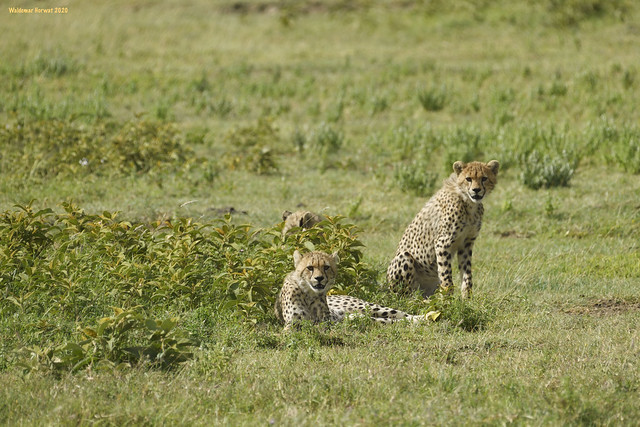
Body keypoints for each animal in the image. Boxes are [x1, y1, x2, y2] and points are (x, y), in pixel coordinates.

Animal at [276, 251, 424, 332]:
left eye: (326, 267)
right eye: (310, 268)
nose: (319, 278)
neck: (309, 294)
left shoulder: (326, 322)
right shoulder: (292, 325)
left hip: (368, 307)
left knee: (401, 316)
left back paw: (425, 318)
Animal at [384, 160, 500, 298]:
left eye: (484, 178)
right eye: (468, 179)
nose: (476, 190)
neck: (468, 202)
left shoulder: (466, 243)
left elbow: (467, 275)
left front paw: (467, 298)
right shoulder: (442, 242)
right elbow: (446, 274)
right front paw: (447, 299)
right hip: (404, 258)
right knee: (404, 295)